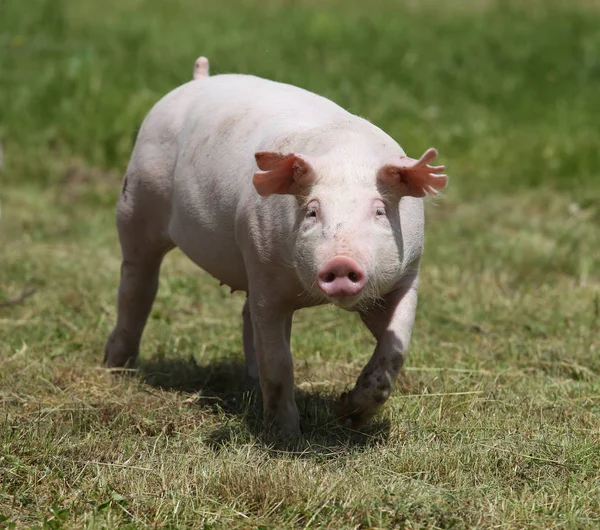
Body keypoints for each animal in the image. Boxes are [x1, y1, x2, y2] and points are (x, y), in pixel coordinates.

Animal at [105, 56, 448, 434]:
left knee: (244, 315)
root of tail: (198, 79)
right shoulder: (266, 273)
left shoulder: (407, 275)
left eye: (379, 211)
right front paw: (286, 435)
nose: (341, 262)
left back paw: (250, 383)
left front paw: (347, 415)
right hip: (137, 198)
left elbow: (395, 348)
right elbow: (279, 359)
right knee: (137, 286)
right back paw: (116, 367)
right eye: (312, 211)